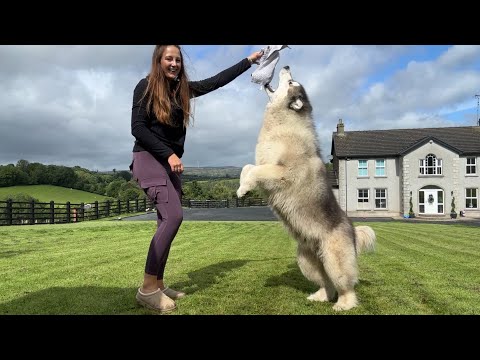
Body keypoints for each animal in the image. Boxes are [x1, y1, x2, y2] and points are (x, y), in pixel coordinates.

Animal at [238, 65, 376, 310]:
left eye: (291, 82)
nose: (286, 66)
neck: (284, 121)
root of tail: (352, 230)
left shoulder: (282, 172)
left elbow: (255, 171)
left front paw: (244, 189)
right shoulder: (264, 165)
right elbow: (248, 168)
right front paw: (241, 188)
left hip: (335, 260)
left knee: (345, 286)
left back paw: (344, 304)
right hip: (306, 260)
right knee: (326, 284)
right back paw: (319, 296)